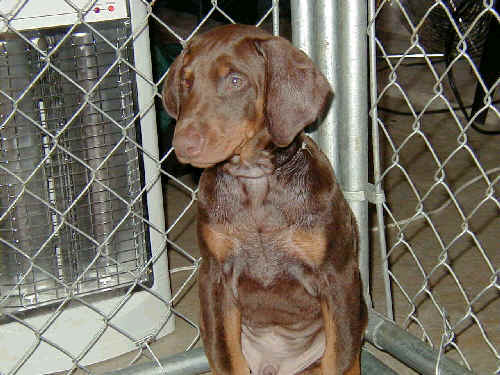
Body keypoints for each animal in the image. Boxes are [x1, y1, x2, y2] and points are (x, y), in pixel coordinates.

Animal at [164, 25, 368, 375]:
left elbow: (339, 357)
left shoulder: (338, 277)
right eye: (186, 81)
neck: (256, 182)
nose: (183, 145)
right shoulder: (214, 279)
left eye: (235, 80)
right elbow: (226, 356)